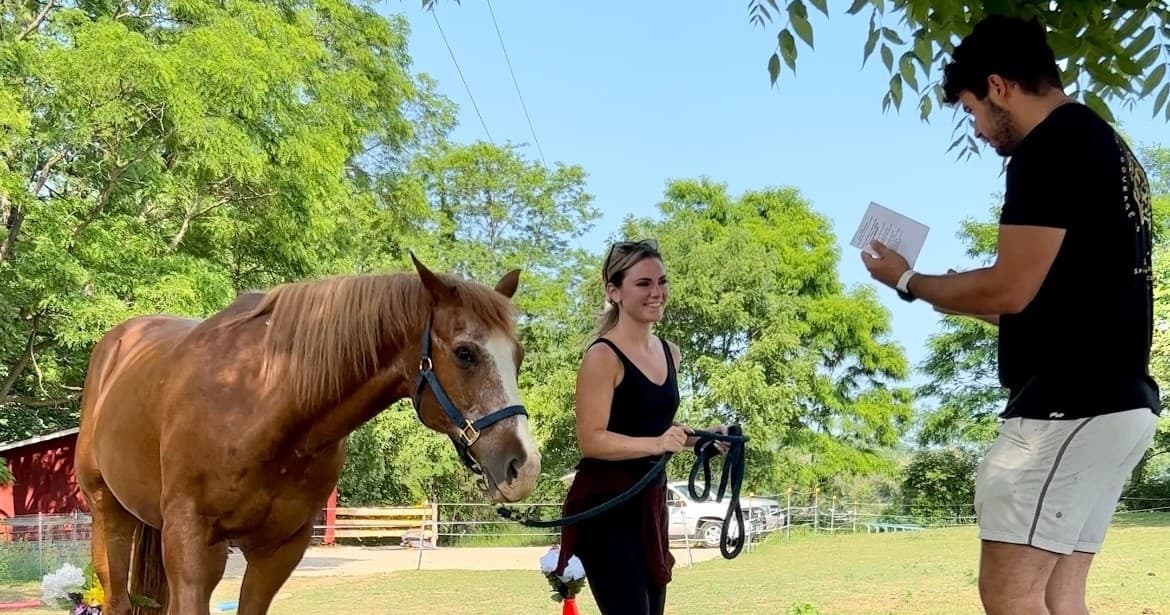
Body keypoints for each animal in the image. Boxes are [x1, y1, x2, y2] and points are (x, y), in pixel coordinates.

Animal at [73, 255, 542, 615]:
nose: (524, 466)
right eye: (465, 353)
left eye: (518, 355)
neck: (259, 399)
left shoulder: (279, 550)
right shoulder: (189, 538)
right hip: (109, 515)